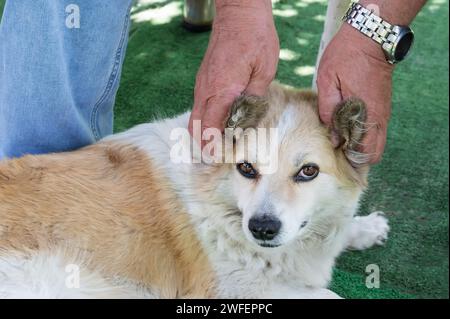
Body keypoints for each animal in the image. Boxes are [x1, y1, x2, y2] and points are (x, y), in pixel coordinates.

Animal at [0, 82, 388, 300]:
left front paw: (366, 227)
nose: (262, 228)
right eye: (246, 168)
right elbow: (331, 295)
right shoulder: (235, 288)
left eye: (308, 171)